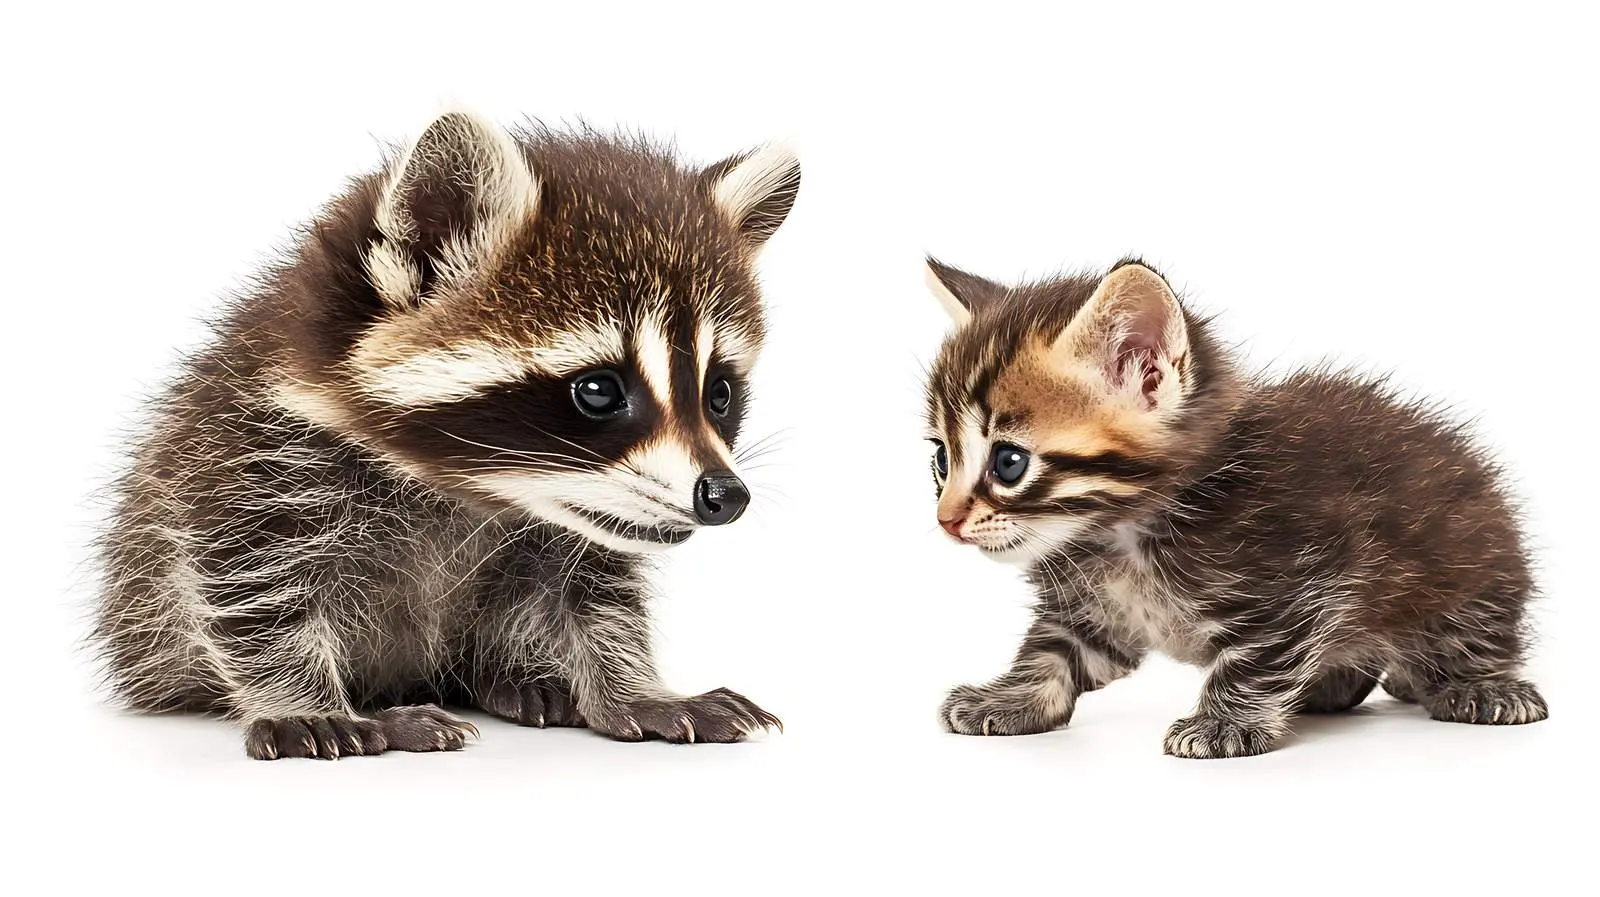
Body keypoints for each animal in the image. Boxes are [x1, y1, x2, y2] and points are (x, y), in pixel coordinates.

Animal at [92, 111, 799, 759]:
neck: (478, 491)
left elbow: (597, 601)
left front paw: (634, 688)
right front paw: (301, 699)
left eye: (718, 394)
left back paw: (510, 677)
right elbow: (248, 581)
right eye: (598, 390)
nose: (725, 495)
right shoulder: (251, 449)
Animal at [923, 258, 1547, 758]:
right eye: (941, 458)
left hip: (1467, 568)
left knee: (1474, 637)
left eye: (1008, 462)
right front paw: (1009, 698)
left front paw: (1223, 723)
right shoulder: (1095, 615)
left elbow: (1256, 659)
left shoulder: (1305, 575)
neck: (1127, 532)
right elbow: (1054, 652)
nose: (946, 522)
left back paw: (1486, 687)